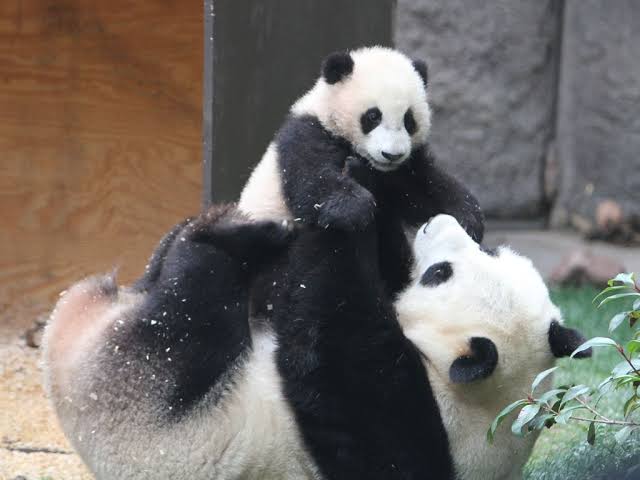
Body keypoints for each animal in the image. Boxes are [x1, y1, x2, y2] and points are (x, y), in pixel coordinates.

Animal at [43, 202, 590, 480]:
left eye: (438, 274)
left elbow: (330, 338)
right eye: (491, 249)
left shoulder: (401, 422)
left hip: (149, 398)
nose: (440, 221)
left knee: (187, 306)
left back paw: (226, 236)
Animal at [238, 46, 484, 297]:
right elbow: (312, 182)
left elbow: (423, 188)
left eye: (409, 120)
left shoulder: (403, 168)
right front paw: (354, 208)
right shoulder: (308, 134)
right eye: (373, 116)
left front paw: (467, 219)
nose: (392, 154)